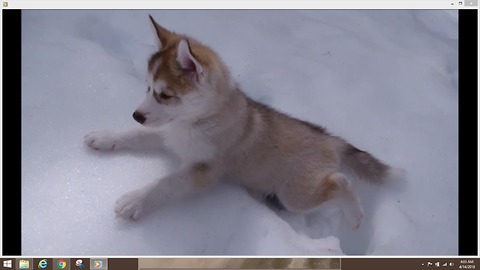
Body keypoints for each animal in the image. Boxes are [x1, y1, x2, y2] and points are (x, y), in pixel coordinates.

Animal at [84, 15, 392, 229]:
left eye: (165, 95)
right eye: (147, 88)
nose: (136, 114)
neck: (197, 121)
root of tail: (329, 138)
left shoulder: (204, 168)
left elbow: (166, 183)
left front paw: (135, 201)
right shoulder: (169, 132)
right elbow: (134, 135)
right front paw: (105, 137)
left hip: (295, 194)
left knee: (341, 182)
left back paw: (355, 216)